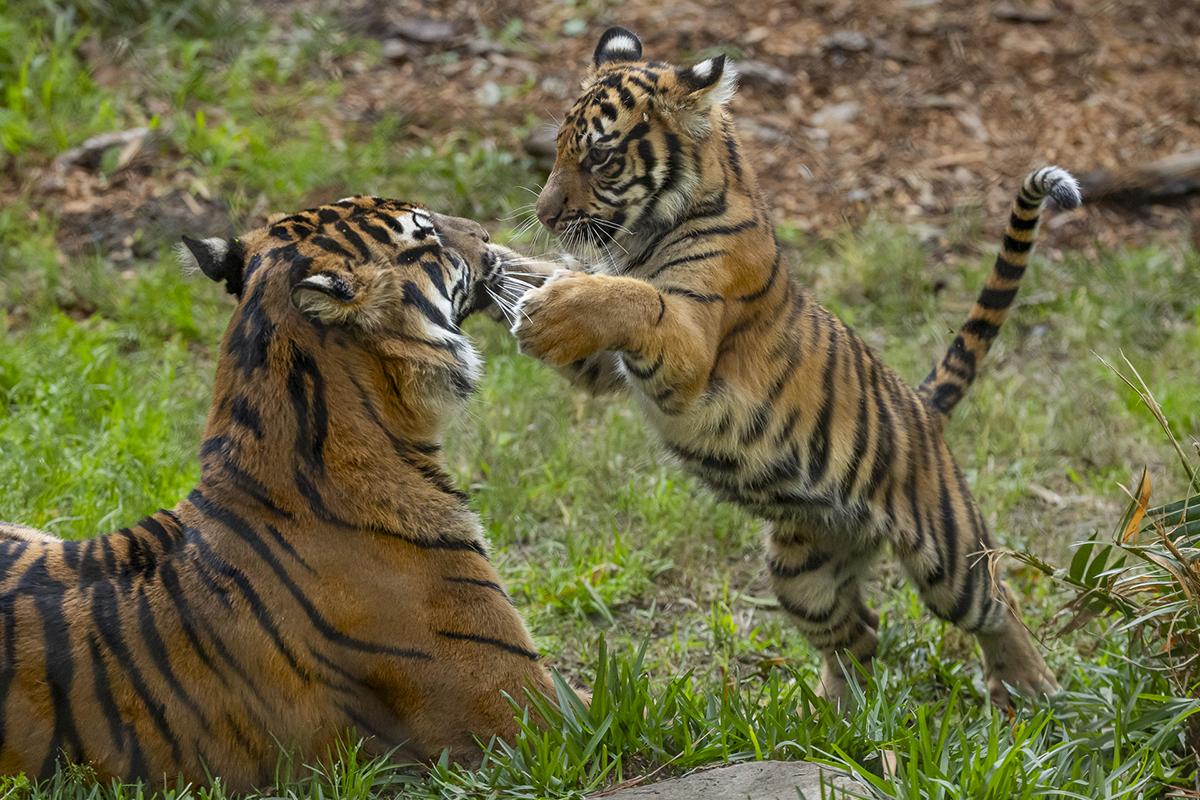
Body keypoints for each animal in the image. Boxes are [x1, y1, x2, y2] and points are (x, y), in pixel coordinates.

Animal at [501, 26, 1080, 706]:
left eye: (600, 158)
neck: (645, 233)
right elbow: (555, 280)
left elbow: (635, 298)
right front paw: (481, 259)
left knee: (996, 600)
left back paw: (1031, 684)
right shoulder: (609, 364)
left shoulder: (688, 347)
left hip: (948, 555)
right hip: (800, 569)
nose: (543, 215)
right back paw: (837, 712)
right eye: (560, 148)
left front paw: (545, 308)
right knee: (859, 631)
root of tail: (923, 403)